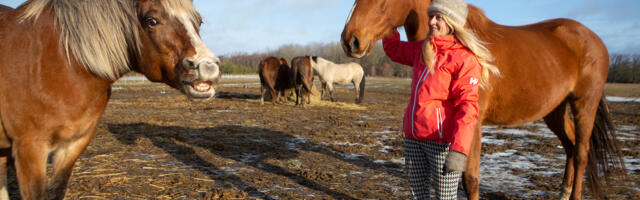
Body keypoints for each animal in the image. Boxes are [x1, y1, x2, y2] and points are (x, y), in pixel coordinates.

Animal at [0, 0, 222, 199]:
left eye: (199, 21)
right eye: (151, 20)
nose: (208, 67)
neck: (61, 62)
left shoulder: (74, 144)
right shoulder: (30, 148)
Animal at [340, 0, 624, 199]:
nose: (350, 40)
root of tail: (594, 39)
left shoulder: (472, 125)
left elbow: (470, 180)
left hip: (584, 104)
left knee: (581, 153)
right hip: (554, 110)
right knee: (571, 146)